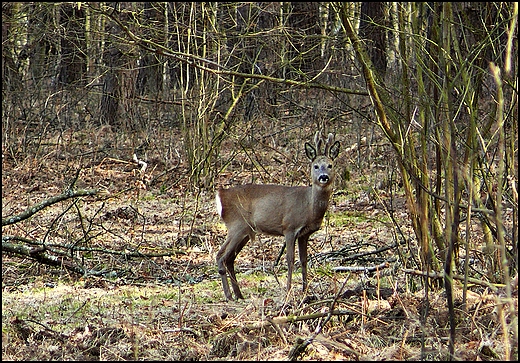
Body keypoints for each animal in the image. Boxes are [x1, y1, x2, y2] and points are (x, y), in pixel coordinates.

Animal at [215, 132, 342, 300]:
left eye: (330, 165)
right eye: (315, 166)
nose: (323, 177)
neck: (308, 206)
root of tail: (221, 195)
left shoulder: (304, 234)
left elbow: (304, 260)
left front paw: (305, 290)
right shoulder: (289, 227)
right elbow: (290, 260)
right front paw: (288, 290)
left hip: (245, 231)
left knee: (229, 259)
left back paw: (239, 295)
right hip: (237, 225)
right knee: (220, 256)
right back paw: (229, 295)